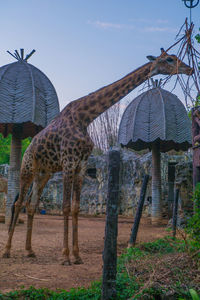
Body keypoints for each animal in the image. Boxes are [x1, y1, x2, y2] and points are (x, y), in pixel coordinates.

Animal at [2, 48, 192, 264]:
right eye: (169, 59)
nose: (190, 69)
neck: (84, 118)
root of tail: (28, 148)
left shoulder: (81, 165)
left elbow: (75, 207)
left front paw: (77, 255)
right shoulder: (68, 162)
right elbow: (65, 206)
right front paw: (65, 256)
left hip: (44, 173)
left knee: (31, 205)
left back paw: (29, 250)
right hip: (28, 169)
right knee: (18, 203)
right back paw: (7, 250)